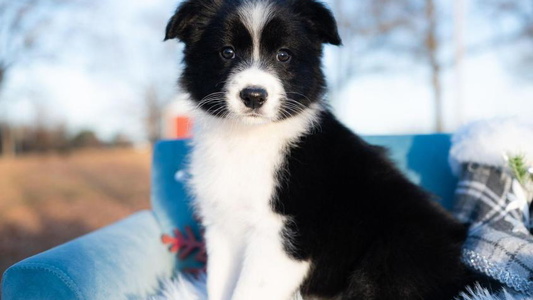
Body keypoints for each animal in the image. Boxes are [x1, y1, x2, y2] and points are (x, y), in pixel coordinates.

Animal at [164, 1, 468, 298]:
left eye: (283, 55)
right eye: (227, 52)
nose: (254, 95)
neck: (248, 138)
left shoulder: (284, 238)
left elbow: (249, 290)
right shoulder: (221, 225)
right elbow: (219, 285)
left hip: (390, 259)